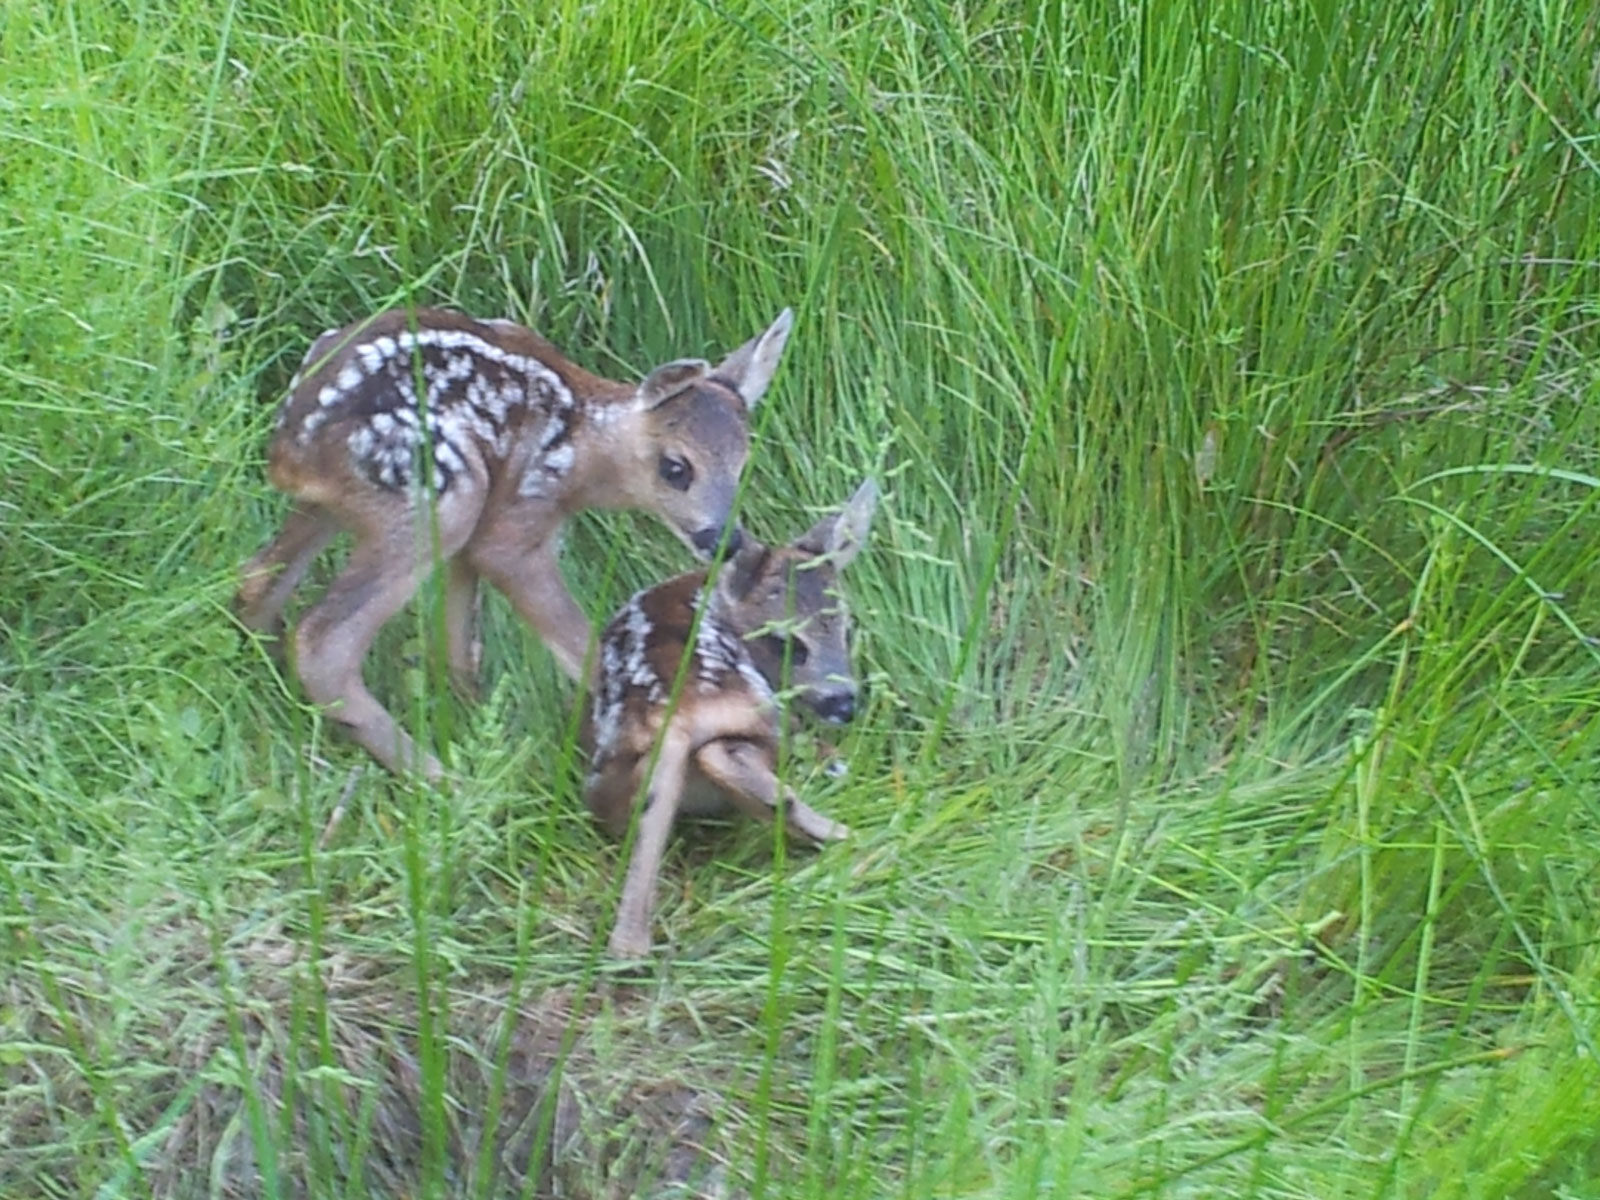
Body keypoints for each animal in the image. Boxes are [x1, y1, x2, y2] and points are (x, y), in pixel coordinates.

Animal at [235, 305, 794, 781]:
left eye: (743, 466)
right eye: (676, 467)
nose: (723, 540)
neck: (585, 452)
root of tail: (290, 446)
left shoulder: (481, 526)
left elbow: (461, 642)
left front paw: (474, 713)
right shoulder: (516, 520)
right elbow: (579, 641)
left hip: (351, 505)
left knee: (255, 578)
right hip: (442, 494)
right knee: (322, 643)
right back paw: (441, 781)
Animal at [582, 479, 878, 958]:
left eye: (848, 627)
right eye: (786, 643)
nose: (845, 703)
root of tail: (675, 715)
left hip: (609, 778)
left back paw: (629, 946)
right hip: (761, 713)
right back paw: (846, 833)